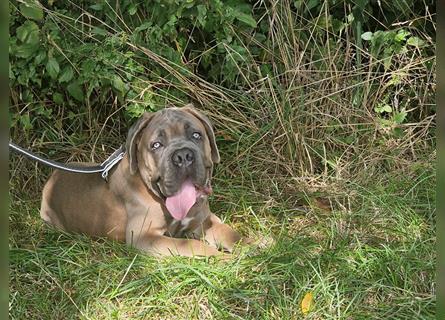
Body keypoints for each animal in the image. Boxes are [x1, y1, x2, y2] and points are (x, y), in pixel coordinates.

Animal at [39, 105, 248, 258]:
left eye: (196, 135)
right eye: (156, 145)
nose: (182, 156)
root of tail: (52, 177)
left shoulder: (203, 221)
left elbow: (230, 233)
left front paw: (253, 248)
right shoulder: (145, 238)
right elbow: (191, 245)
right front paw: (225, 260)